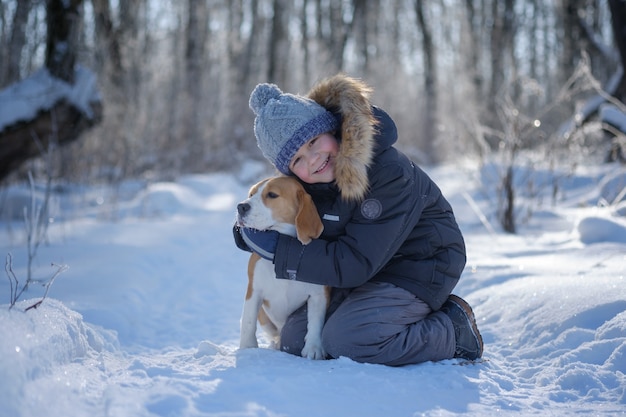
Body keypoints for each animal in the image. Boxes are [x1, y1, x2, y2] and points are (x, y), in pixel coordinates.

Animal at [235, 176, 330, 358]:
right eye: (251, 194)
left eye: (272, 195)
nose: (241, 206)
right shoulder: (254, 291)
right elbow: (248, 322)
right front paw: (247, 348)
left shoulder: (319, 294)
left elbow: (316, 321)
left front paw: (313, 348)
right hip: (264, 318)